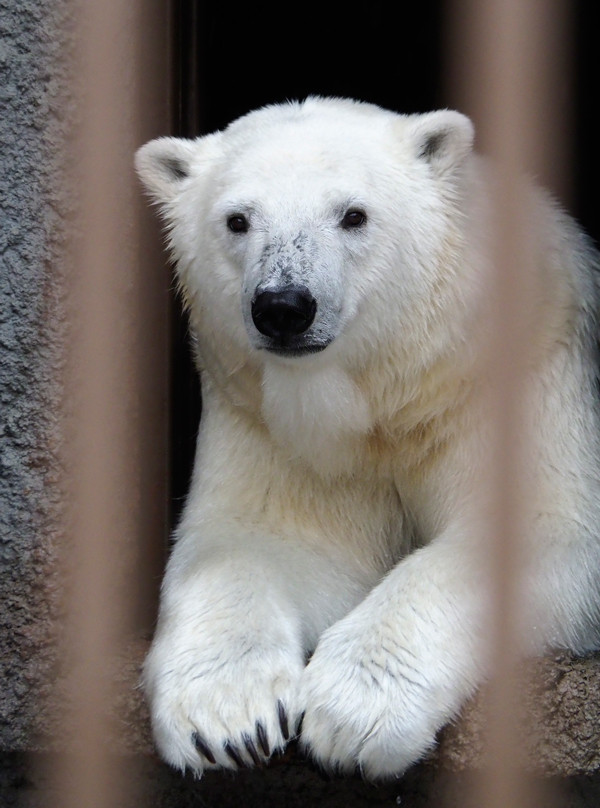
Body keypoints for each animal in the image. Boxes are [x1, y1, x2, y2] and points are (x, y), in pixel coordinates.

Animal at [136, 98, 600, 780]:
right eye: (237, 220)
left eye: (353, 214)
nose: (283, 306)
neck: (394, 398)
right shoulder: (274, 428)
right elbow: (267, 539)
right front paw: (228, 721)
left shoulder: (519, 375)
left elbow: (538, 527)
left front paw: (353, 715)